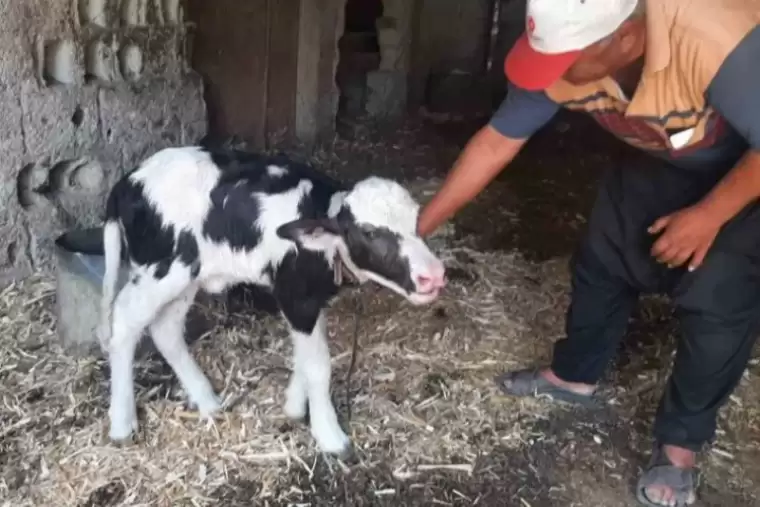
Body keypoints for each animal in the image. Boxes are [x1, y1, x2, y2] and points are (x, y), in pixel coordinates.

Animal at [99, 147, 446, 456]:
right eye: (370, 233)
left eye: (416, 221)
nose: (433, 275)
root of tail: (126, 183)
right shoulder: (295, 296)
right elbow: (318, 365)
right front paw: (330, 436)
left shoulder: (311, 300)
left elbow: (308, 355)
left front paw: (294, 407)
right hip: (161, 269)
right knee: (124, 320)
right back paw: (122, 423)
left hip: (186, 276)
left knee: (165, 328)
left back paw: (207, 401)